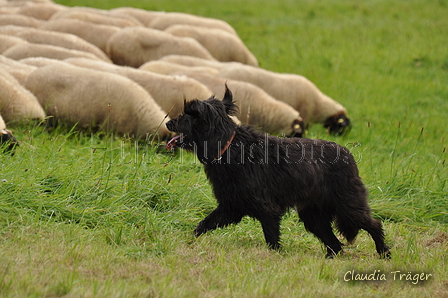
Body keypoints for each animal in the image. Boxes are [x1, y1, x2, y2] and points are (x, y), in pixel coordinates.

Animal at [166, 86, 390, 258]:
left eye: (185, 115)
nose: (168, 122)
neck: (229, 146)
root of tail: (348, 155)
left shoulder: (267, 210)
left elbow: (272, 239)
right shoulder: (230, 207)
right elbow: (202, 225)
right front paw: (190, 242)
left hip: (348, 207)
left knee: (374, 225)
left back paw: (384, 253)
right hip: (313, 216)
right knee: (334, 244)